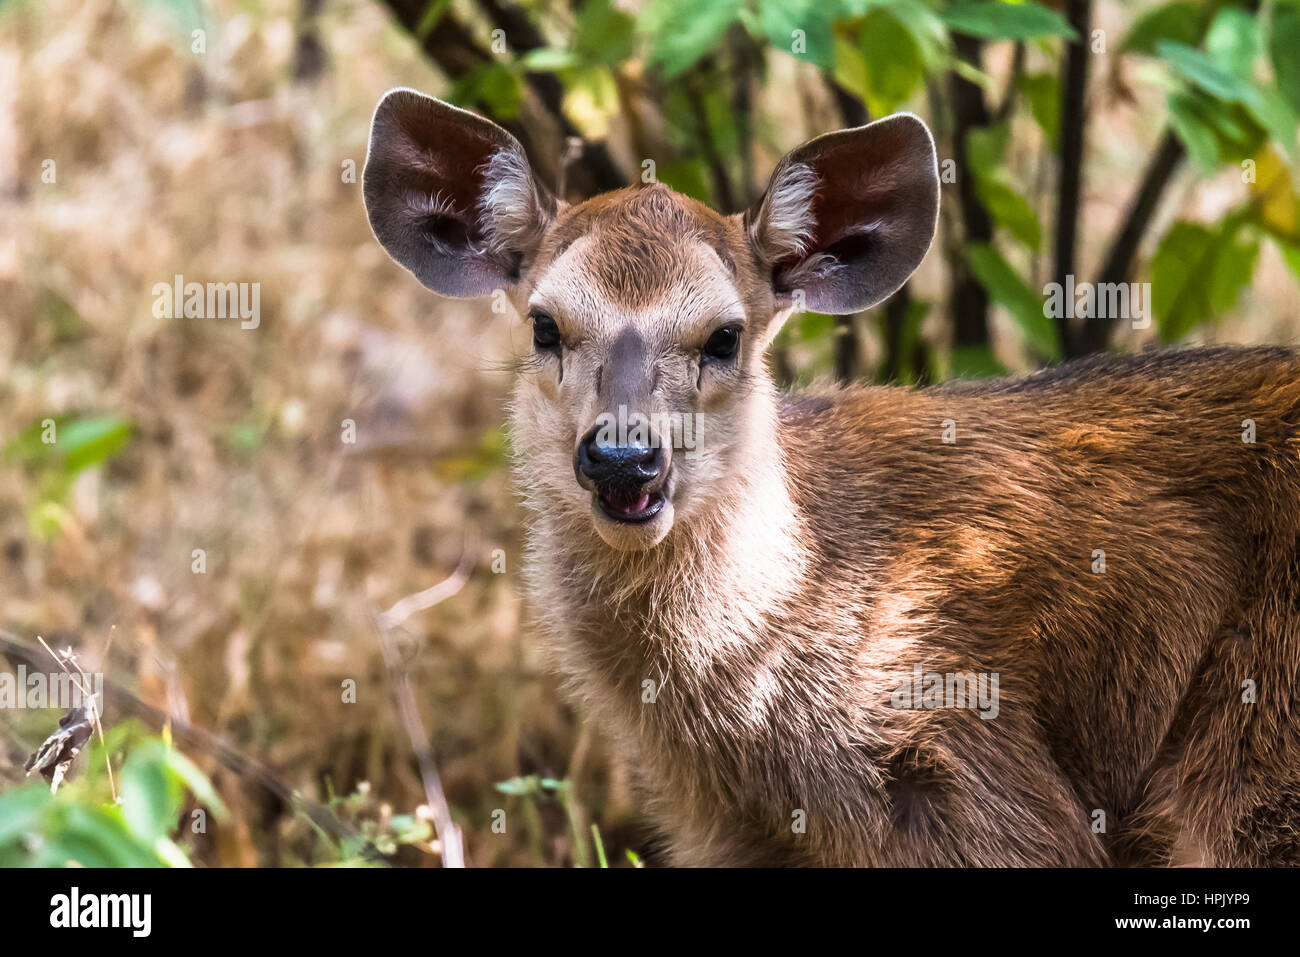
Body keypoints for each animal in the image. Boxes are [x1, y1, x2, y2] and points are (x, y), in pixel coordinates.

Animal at [361, 87, 1300, 868]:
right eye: (545, 326)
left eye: (725, 335)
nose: (623, 456)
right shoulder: (724, 832)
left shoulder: (986, 781)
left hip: (1254, 757)